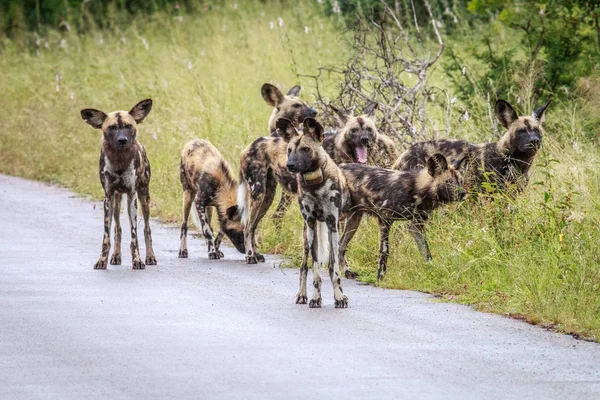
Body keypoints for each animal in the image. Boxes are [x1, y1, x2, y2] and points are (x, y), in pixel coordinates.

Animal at [79, 99, 157, 270]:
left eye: (128, 126)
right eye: (112, 127)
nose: (122, 140)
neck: (119, 161)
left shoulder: (132, 196)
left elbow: (134, 237)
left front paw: (137, 260)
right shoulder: (108, 197)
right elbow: (106, 236)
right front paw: (102, 260)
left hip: (144, 198)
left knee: (146, 228)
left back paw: (150, 257)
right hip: (116, 200)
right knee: (117, 229)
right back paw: (115, 256)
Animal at [282, 117, 352, 308]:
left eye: (306, 149)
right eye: (289, 150)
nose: (290, 165)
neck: (315, 185)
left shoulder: (333, 225)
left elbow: (334, 268)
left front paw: (339, 297)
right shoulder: (312, 224)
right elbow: (315, 271)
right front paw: (315, 298)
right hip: (306, 236)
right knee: (304, 267)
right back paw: (302, 295)